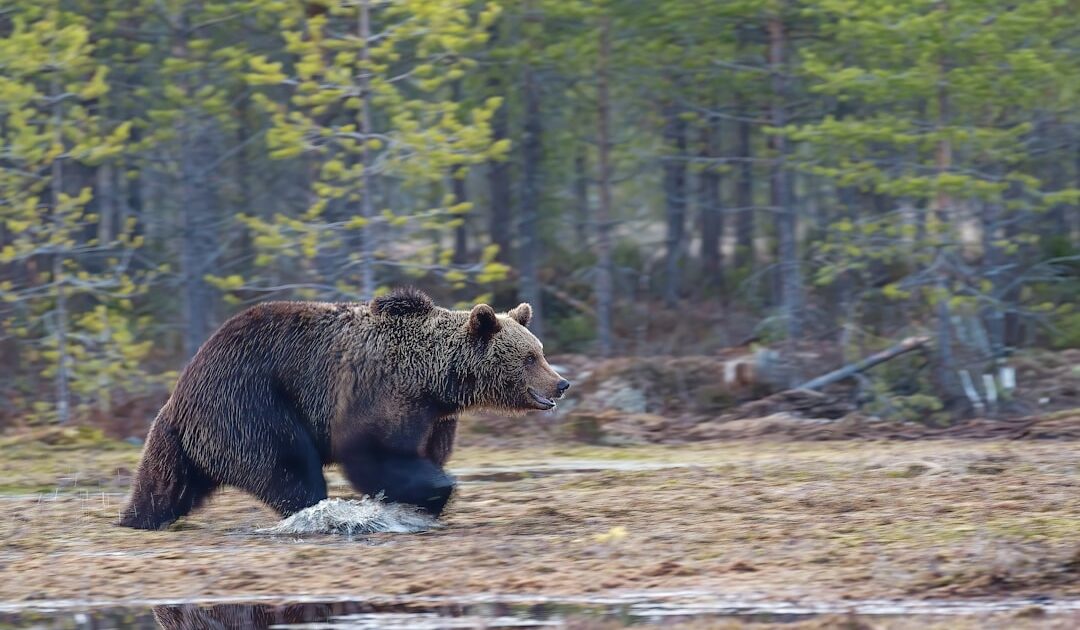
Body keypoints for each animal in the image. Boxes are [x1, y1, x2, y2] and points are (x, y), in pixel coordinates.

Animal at [118, 288, 569, 530]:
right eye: (530, 357)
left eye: (540, 351)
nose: (561, 383)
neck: (435, 381)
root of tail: (182, 388)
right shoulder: (377, 390)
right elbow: (372, 452)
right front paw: (431, 491)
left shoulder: (435, 417)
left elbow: (424, 451)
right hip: (250, 402)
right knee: (287, 465)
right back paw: (315, 510)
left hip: (188, 436)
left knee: (165, 484)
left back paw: (136, 517)